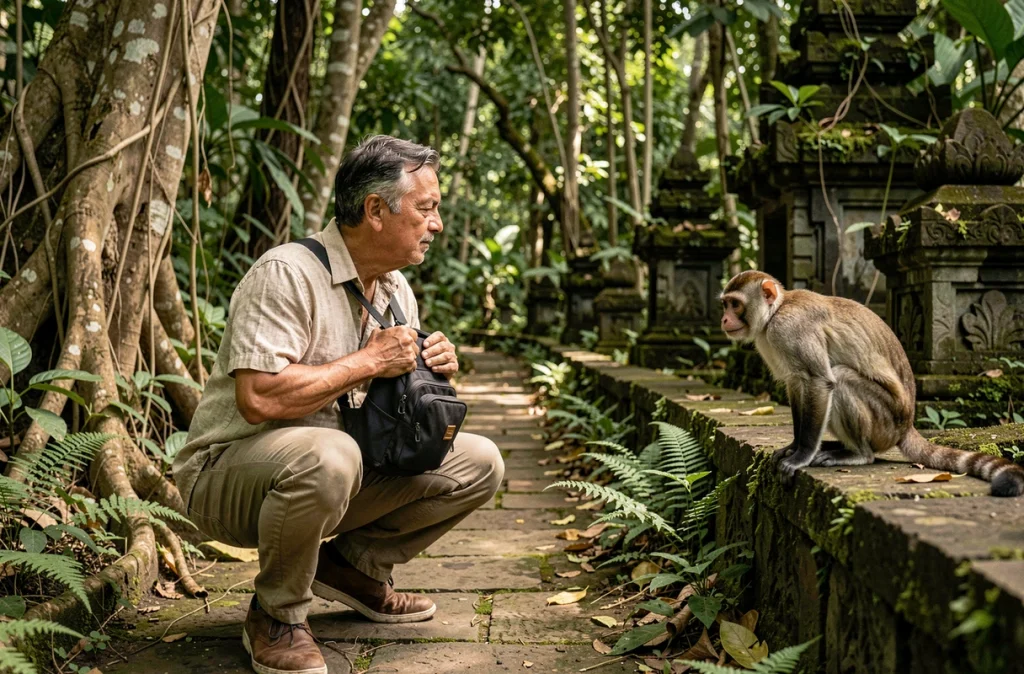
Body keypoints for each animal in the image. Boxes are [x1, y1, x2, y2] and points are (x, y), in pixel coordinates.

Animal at [719, 270, 1024, 497]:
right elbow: (796, 383)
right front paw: (794, 445)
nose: (724, 319)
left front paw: (801, 454)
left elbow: (819, 380)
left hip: (884, 423)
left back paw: (858, 454)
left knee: (841, 379)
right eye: (725, 304)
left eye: (735, 304)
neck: (776, 310)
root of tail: (906, 425)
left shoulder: (790, 328)